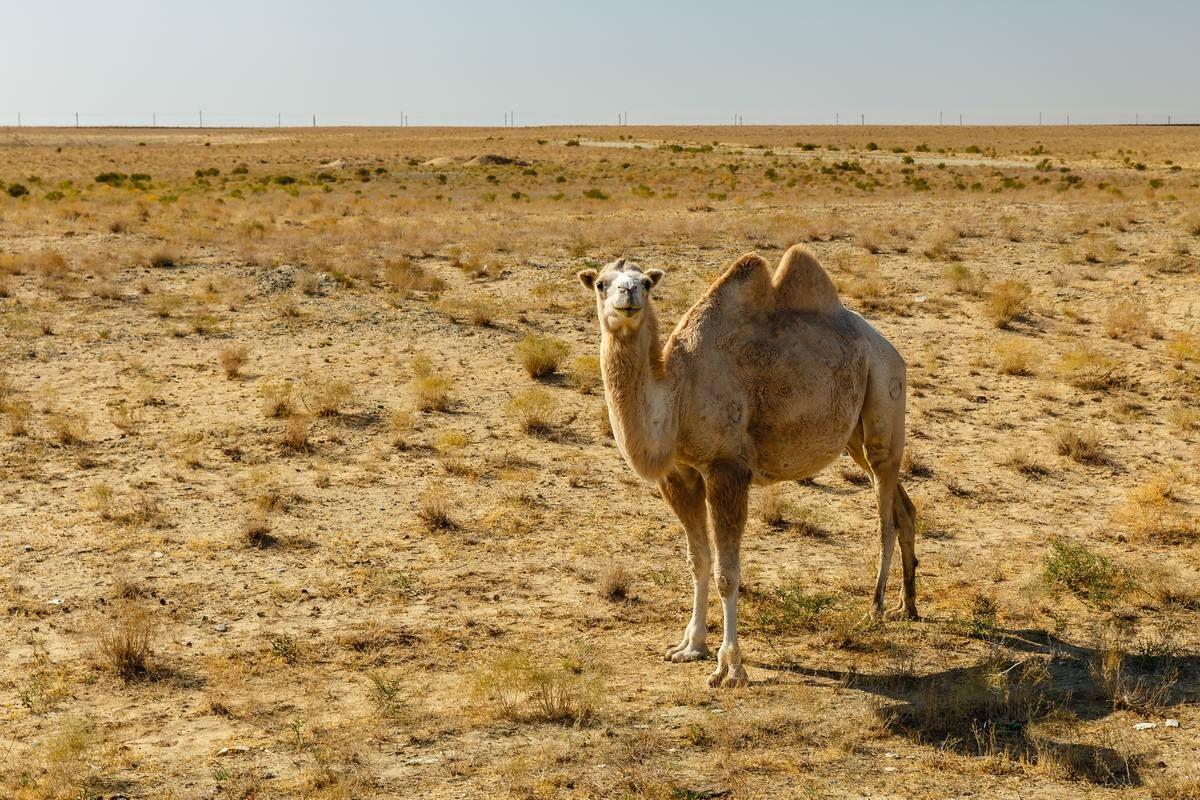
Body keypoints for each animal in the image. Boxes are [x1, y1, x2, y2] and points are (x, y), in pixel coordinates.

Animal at [578, 246, 917, 688]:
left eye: (647, 282)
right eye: (601, 283)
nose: (628, 294)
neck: (678, 395)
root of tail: (891, 348)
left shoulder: (728, 469)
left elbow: (727, 572)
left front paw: (730, 667)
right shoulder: (680, 474)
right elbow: (698, 560)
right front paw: (689, 646)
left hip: (885, 397)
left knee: (885, 515)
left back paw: (874, 608)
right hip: (854, 436)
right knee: (903, 506)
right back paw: (908, 605)